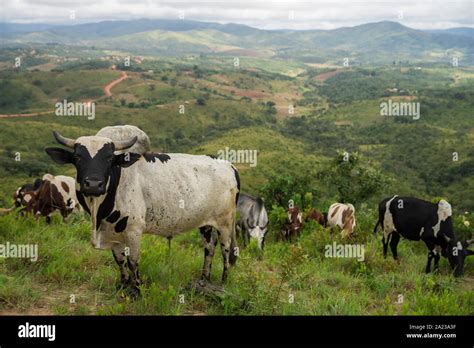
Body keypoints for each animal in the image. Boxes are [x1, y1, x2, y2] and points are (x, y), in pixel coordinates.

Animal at [45, 129, 241, 298]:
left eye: (109, 158)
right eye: (78, 157)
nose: (93, 184)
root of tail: (228, 164)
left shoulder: (134, 230)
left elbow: (133, 261)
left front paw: (136, 291)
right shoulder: (113, 232)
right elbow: (120, 260)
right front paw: (123, 285)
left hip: (225, 223)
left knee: (225, 252)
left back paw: (223, 283)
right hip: (206, 223)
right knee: (209, 248)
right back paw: (203, 280)